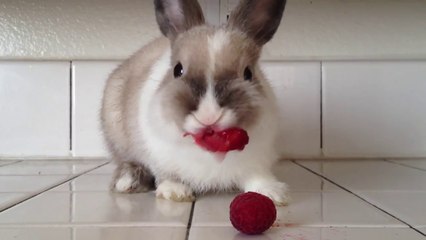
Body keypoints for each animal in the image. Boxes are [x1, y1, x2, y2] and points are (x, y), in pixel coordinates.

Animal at [100, 0, 290, 206]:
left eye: (248, 74)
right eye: (177, 70)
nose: (209, 115)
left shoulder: (257, 159)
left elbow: (257, 176)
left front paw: (274, 193)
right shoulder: (157, 154)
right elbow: (166, 174)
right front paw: (175, 192)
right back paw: (128, 181)